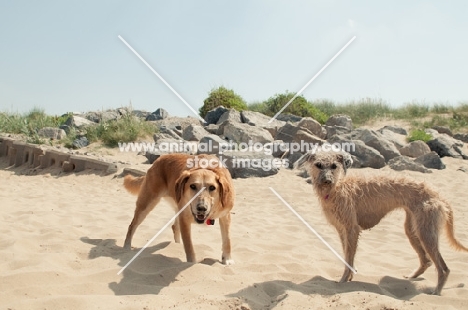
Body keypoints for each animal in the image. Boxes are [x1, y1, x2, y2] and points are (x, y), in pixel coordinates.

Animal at [296, 150, 468, 296]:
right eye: (318, 165)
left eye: (334, 166)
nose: (327, 181)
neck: (337, 189)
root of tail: (438, 195)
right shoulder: (342, 230)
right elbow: (347, 255)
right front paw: (349, 276)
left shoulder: (352, 228)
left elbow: (348, 256)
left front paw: (344, 280)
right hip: (413, 229)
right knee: (426, 261)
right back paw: (413, 276)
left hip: (426, 232)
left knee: (443, 268)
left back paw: (436, 291)